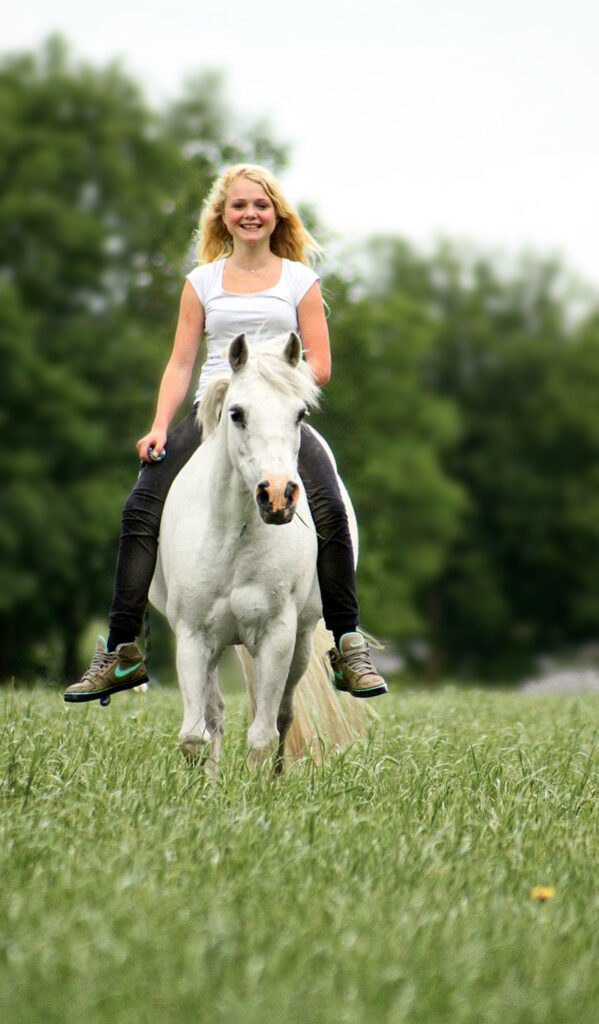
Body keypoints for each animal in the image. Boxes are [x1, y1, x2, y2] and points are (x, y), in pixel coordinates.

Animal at [149, 331, 368, 770]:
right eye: (237, 413)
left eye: (300, 414)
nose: (278, 495)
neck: (233, 536)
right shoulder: (193, 636)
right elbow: (195, 736)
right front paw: (206, 784)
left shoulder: (276, 635)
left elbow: (264, 735)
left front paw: (259, 784)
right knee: (216, 713)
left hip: (300, 640)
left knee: (284, 713)